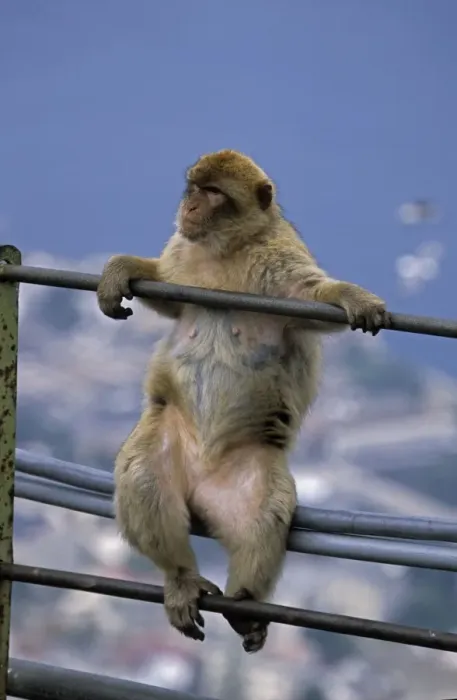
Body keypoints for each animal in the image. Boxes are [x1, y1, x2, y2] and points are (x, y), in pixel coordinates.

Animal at [96, 149, 390, 653]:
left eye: (213, 193)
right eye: (195, 187)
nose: (190, 205)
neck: (224, 250)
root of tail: (200, 483)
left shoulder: (280, 258)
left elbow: (313, 297)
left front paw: (353, 297)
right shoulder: (182, 250)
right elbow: (166, 286)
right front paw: (120, 269)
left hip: (249, 473)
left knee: (265, 516)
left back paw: (245, 603)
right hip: (165, 438)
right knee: (142, 478)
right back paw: (180, 576)